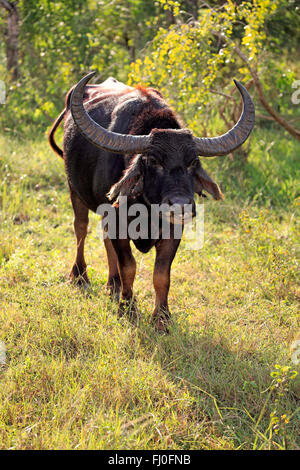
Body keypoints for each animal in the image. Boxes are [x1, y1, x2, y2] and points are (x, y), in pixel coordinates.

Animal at [48, 72, 254, 330]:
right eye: (154, 161)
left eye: (192, 162)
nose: (180, 205)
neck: (147, 210)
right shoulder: (118, 222)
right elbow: (129, 267)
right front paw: (128, 309)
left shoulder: (173, 231)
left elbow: (161, 275)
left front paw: (162, 318)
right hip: (74, 189)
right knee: (81, 229)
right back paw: (79, 276)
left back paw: (112, 284)